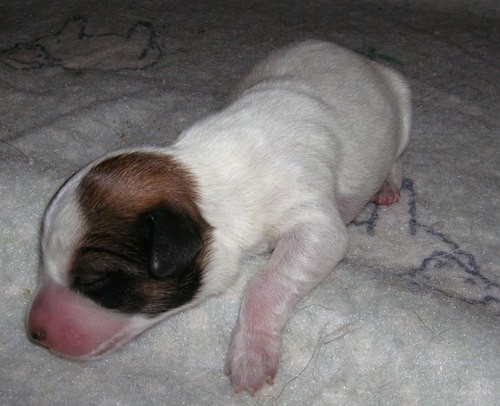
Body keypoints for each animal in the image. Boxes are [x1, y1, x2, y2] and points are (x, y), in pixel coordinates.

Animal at [26, 39, 410, 394]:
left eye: (97, 284)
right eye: (41, 257)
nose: (33, 333)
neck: (203, 177)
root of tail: (351, 53)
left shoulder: (312, 219)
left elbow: (267, 282)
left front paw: (251, 354)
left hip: (402, 102)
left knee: (397, 155)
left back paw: (389, 186)